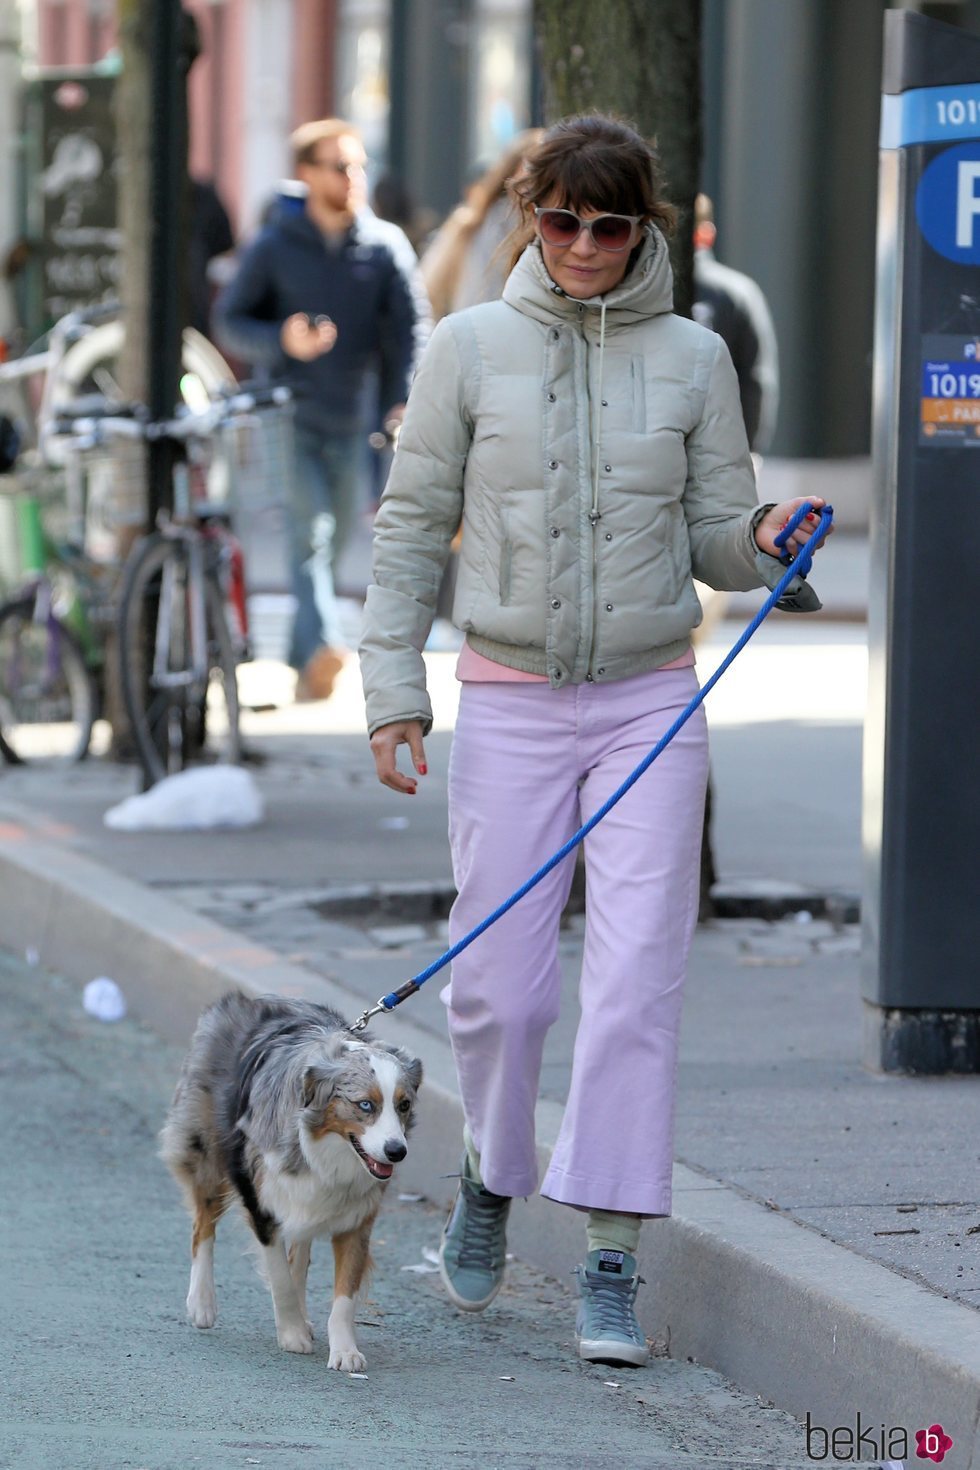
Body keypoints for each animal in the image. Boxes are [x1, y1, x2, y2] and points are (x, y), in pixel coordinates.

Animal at [160, 993, 423, 1370]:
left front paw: (344, 1350)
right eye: (365, 1105)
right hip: (207, 1151)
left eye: (403, 1105)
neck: (325, 1147)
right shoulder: (262, 1205)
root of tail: (244, 999)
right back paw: (202, 1303)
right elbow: (279, 1277)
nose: (396, 1151)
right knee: (203, 1226)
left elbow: (343, 1295)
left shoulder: (357, 1218)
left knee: (299, 1250)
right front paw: (292, 1334)